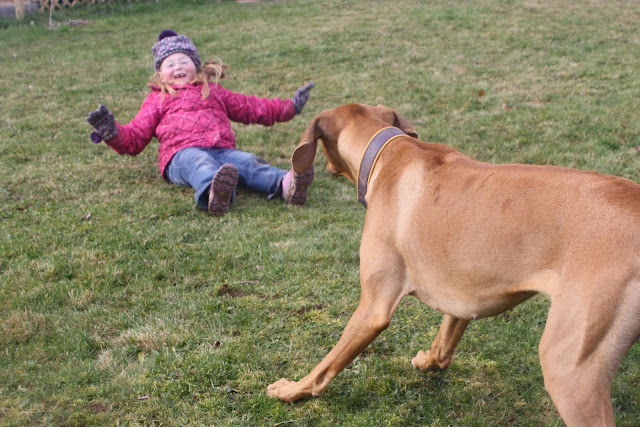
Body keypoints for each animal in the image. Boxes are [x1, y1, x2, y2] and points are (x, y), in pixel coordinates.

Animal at [266, 103, 640, 426]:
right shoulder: (463, 290)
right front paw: (430, 362)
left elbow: (326, 366)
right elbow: (445, 340)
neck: (390, 152)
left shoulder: (374, 308)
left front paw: (292, 390)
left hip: (570, 370)